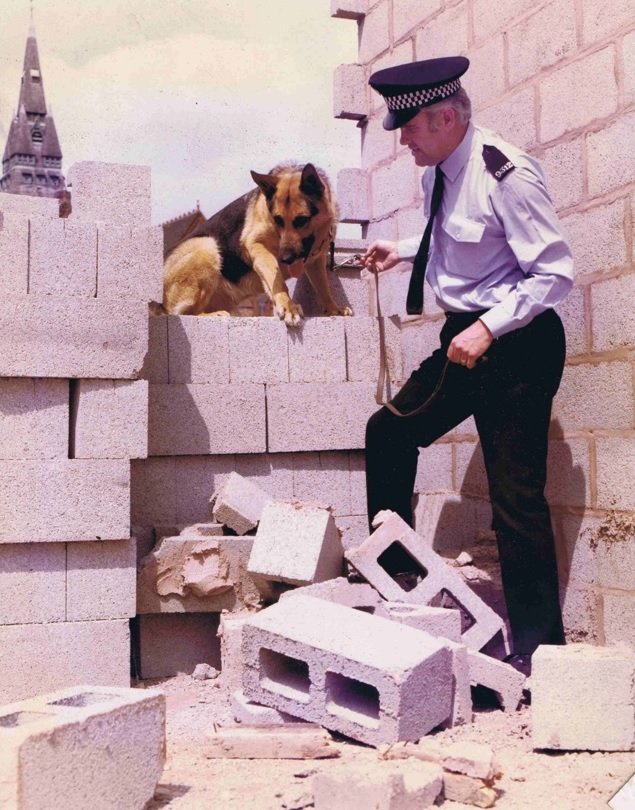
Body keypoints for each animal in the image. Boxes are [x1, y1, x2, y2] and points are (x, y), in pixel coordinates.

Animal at [161, 161, 352, 326]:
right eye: (278, 219)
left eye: (301, 220)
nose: (285, 259)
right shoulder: (257, 246)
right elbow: (278, 281)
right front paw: (289, 308)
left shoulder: (316, 260)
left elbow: (323, 287)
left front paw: (333, 309)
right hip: (207, 246)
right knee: (183, 312)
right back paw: (212, 315)